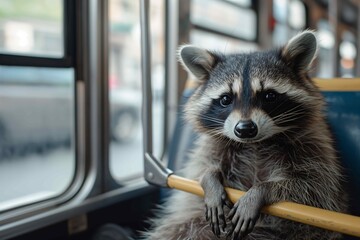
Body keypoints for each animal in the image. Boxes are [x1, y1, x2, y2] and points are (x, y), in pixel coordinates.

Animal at [143, 31, 346, 239]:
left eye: (269, 96)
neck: (255, 143)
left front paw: (261, 191)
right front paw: (209, 179)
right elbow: (201, 168)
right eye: (225, 99)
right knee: (179, 228)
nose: (245, 129)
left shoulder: (314, 144)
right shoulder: (213, 145)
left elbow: (314, 187)